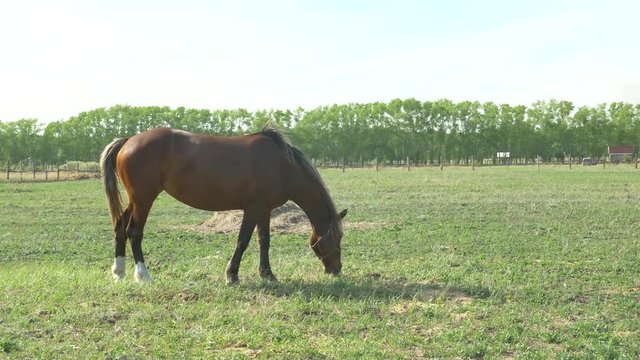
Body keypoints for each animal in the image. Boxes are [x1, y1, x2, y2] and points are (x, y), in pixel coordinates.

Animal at [100, 126, 348, 284]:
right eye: (337, 236)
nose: (336, 270)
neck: (282, 165)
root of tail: (128, 140)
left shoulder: (265, 210)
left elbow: (264, 241)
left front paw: (267, 274)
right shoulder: (253, 209)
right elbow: (243, 240)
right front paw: (232, 275)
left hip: (135, 200)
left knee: (120, 226)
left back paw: (119, 272)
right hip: (144, 199)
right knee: (134, 232)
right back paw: (143, 276)